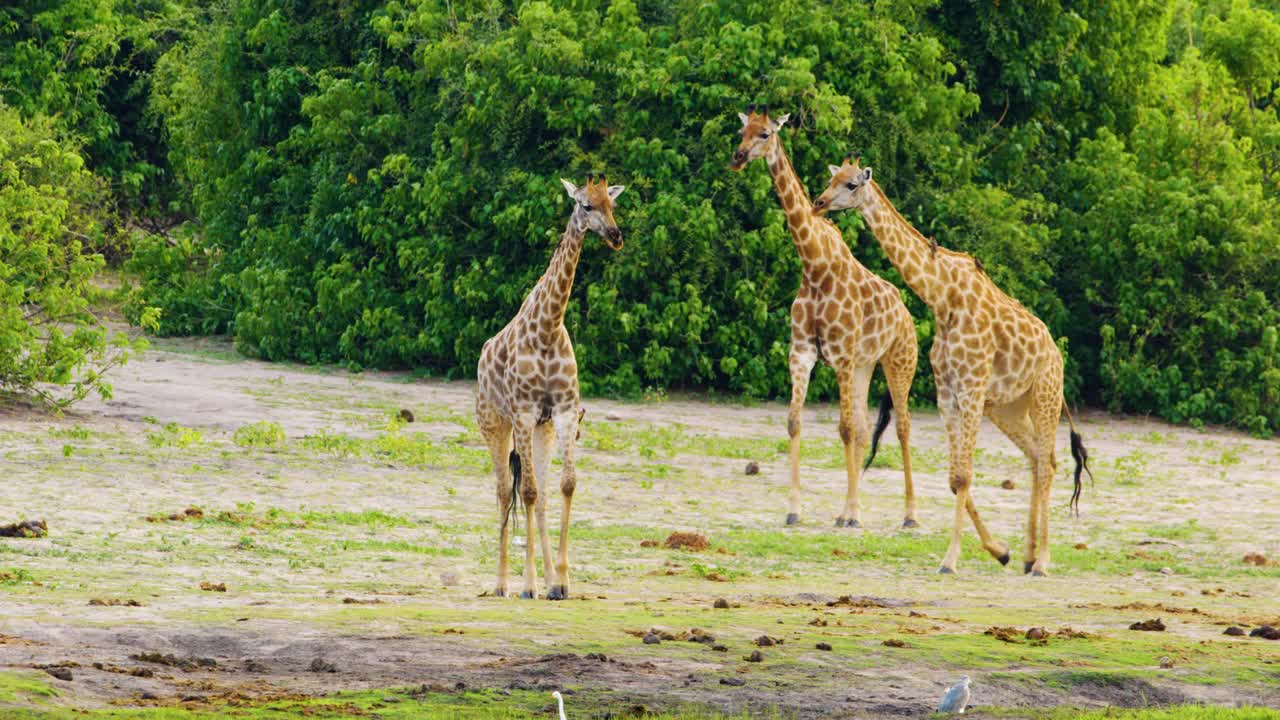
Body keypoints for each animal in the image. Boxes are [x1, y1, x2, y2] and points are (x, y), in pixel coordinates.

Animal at [476, 170, 624, 597]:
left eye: (612, 203)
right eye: (585, 205)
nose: (616, 236)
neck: (548, 327)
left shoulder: (563, 413)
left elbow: (565, 485)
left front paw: (560, 580)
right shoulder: (524, 413)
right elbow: (523, 491)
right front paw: (528, 584)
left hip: (540, 431)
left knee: (538, 496)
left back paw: (544, 581)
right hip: (495, 425)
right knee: (503, 491)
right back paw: (504, 584)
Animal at [732, 106, 921, 530]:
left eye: (766, 133)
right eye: (741, 130)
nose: (738, 157)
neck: (814, 264)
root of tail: (907, 316)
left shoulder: (841, 355)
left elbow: (844, 428)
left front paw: (850, 515)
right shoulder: (803, 352)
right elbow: (796, 421)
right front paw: (795, 509)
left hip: (898, 362)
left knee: (901, 427)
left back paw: (908, 516)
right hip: (866, 365)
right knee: (867, 429)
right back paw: (847, 510)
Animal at [814, 156, 1095, 571]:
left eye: (851, 184)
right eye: (830, 178)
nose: (818, 202)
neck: (941, 296)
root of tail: (1055, 354)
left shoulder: (972, 390)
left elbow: (963, 476)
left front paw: (951, 558)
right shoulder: (948, 394)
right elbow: (954, 478)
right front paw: (999, 550)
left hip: (1044, 397)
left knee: (1048, 462)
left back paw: (1043, 561)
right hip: (1009, 408)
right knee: (1035, 457)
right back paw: (1028, 555)